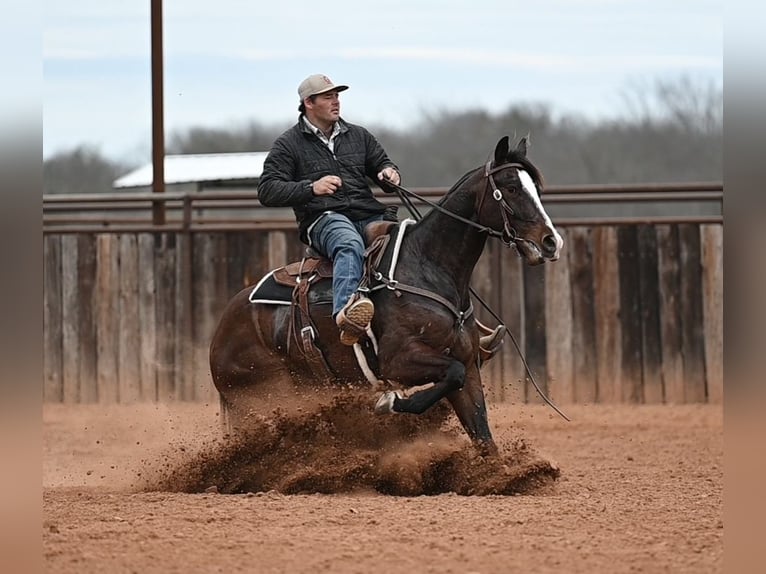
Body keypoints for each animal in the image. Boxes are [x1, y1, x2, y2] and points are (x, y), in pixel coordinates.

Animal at [209, 136, 563, 454]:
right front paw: (389, 402)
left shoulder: (468, 365)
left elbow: (482, 433)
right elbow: (450, 374)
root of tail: (222, 329)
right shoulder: (398, 361)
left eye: (536, 188)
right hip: (269, 398)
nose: (551, 242)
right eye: (512, 188)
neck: (426, 266)